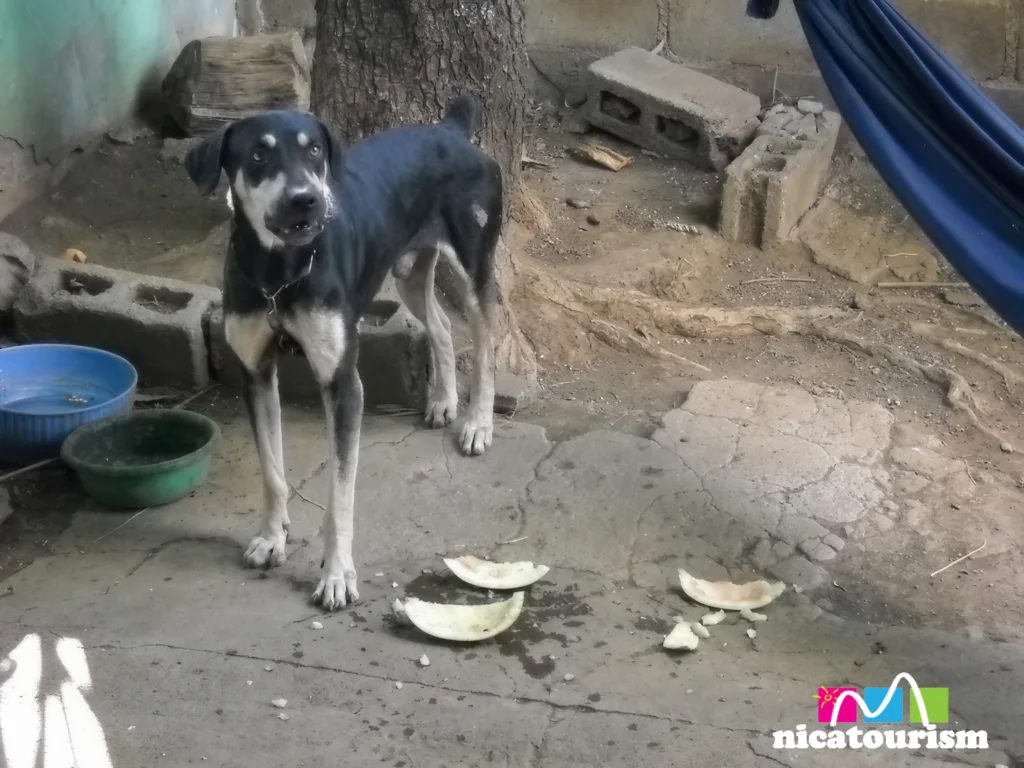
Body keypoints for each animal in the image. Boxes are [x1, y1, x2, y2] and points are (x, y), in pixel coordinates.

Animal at [187, 96, 503, 610]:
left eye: (314, 150)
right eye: (259, 154)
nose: (306, 199)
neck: (281, 271)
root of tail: (452, 129)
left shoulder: (342, 383)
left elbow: (339, 496)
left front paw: (337, 576)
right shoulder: (255, 374)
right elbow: (271, 471)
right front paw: (271, 537)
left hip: (473, 262)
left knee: (487, 338)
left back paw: (478, 424)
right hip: (409, 270)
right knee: (440, 325)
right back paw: (443, 401)